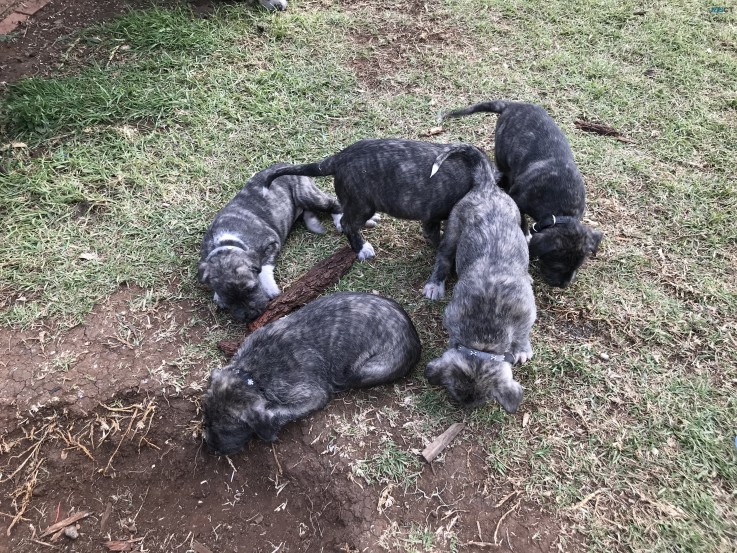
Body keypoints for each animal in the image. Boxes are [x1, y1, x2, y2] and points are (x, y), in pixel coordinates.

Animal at [198, 170, 342, 322]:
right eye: (228, 300)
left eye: (252, 288)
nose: (251, 316)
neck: (226, 242)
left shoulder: (271, 243)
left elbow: (264, 268)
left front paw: (269, 288)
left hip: (305, 195)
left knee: (332, 202)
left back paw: (338, 220)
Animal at [201, 292, 420, 454]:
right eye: (205, 418)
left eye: (228, 430)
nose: (211, 447)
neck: (251, 374)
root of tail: (415, 338)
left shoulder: (313, 395)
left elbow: (280, 412)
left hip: (365, 370)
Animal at [247, 137, 494, 260]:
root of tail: (337, 159)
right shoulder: (432, 217)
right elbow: (437, 238)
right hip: (361, 202)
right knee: (347, 223)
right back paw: (362, 248)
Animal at [420, 144, 536, 412]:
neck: (484, 338)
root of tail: (487, 186)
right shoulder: (452, 316)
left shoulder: (527, 312)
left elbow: (523, 333)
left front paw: (521, 349)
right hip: (452, 231)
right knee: (443, 258)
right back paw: (435, 283)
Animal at [440, 101, 600, 286]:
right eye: (557, 265)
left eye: (577, 266)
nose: (563, 285)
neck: (562, 210)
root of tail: (512, 104)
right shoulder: (518, 200)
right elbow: (522, 221)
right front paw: (526, 234)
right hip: (502, 152)